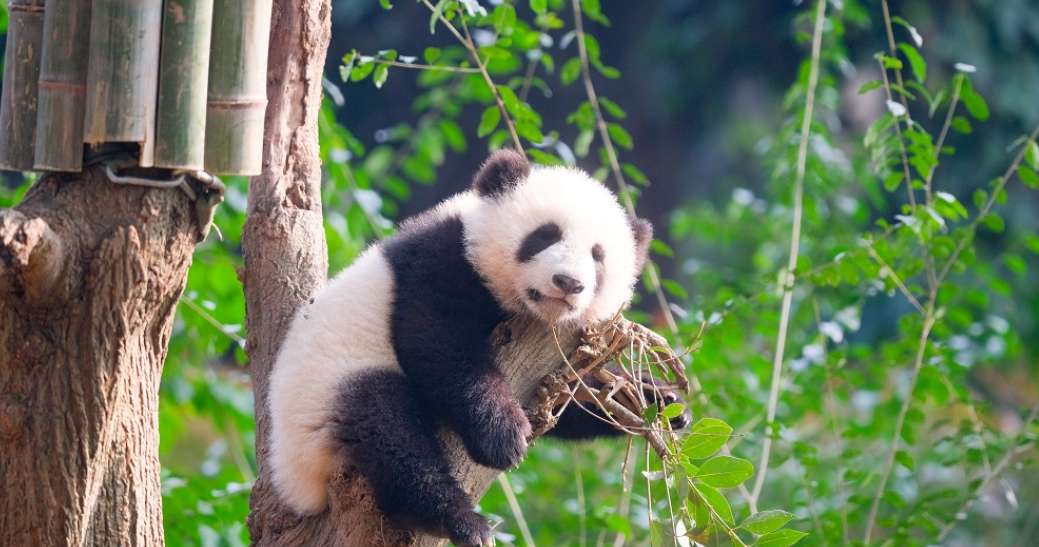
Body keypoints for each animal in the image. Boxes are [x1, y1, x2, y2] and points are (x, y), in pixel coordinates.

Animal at [268, 150, 678, 546]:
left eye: (598, 255)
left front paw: (656, 399)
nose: (568, 282)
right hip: (325, 401)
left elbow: (573, 401)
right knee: (389, 433)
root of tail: (296, 488)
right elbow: (438, 341)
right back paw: (456, 520)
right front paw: (502, 436)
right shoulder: (443, 261)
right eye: (544, 236)